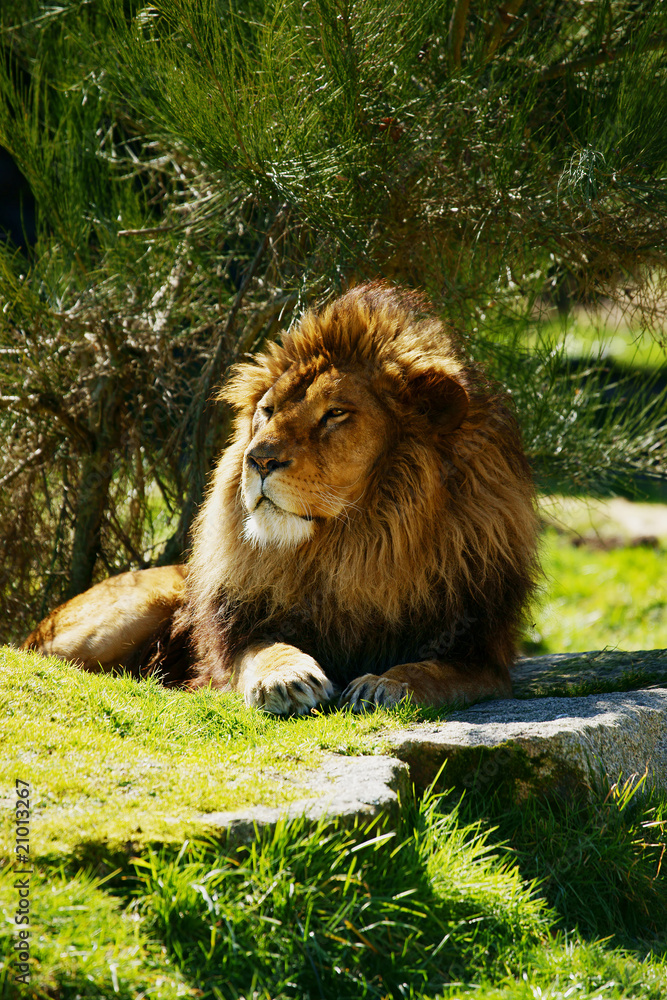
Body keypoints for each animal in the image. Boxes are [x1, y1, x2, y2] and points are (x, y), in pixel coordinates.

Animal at [23, 283, 539, 715]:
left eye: (335, 414)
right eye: (267, 411)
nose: (258, 459)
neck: (356, 549)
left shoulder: (481, 654)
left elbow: (433, 672)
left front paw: (386, 684)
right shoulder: (234, 636)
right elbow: (260, 649)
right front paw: (286, 676)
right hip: (139, 606)